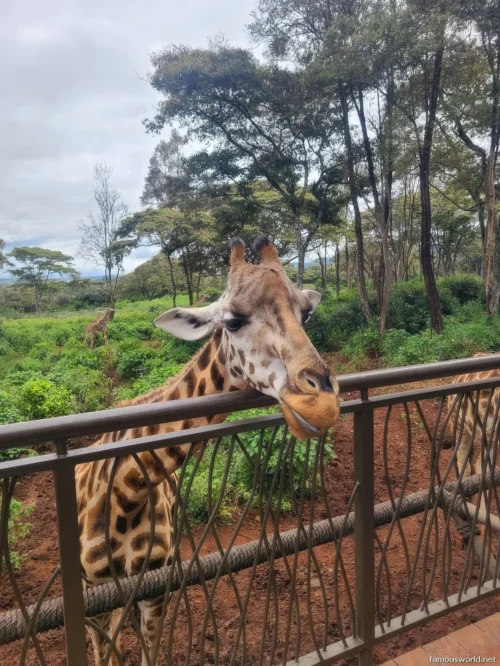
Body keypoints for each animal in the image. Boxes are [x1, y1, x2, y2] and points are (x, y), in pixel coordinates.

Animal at [75, 237, 340, 666]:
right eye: (232, 321)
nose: (322, 404)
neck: (128, 494)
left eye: (307, 314)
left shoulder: (155, 590)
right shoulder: (93, 597)